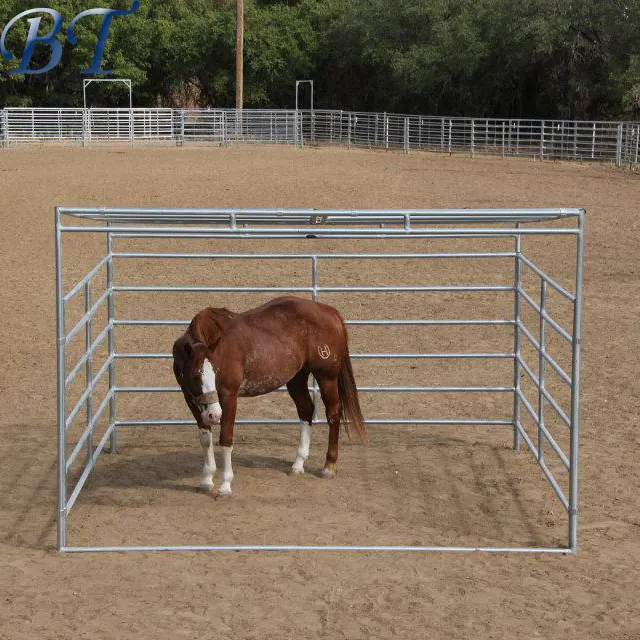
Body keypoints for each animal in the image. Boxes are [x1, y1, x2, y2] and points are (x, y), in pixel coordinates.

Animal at [172, 296, 367, 497]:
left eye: (216, 372)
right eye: (195, 375)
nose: (215, 414)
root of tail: (329, 311)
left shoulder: (228, 396)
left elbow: (226, 439)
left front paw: (225, 485)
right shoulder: (192, 400)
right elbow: (205, 439)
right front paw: (206, 480)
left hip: (326, 377)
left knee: (334, 413)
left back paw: (329, 466)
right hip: (296, 378)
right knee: (306, 410)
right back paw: (298, 464)